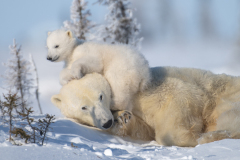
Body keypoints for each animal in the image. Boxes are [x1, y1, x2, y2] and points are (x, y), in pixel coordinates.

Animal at [51, 66, 240, 146]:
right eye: (83, 107)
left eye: (101, 96)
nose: (107, 122)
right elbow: (143, 129)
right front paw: (123, 118)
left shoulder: (150, 89)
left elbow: (178, 97)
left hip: (226, 97)